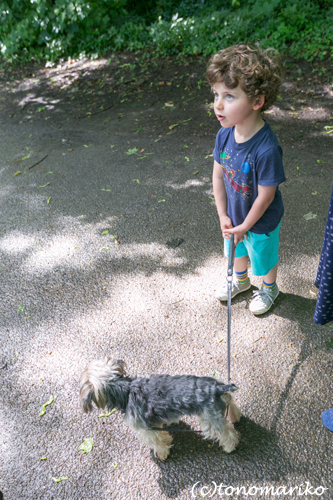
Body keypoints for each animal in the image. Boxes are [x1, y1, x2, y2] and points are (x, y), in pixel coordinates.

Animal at [80, 358, 241, 458]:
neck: (125, 390)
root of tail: (217, 388)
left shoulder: (148, 430)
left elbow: (159, 442)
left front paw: (163, 454)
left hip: (210, 421)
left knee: (227, 433)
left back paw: (230, 447)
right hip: (222, 400)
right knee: (231, 405)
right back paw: (236, 418)